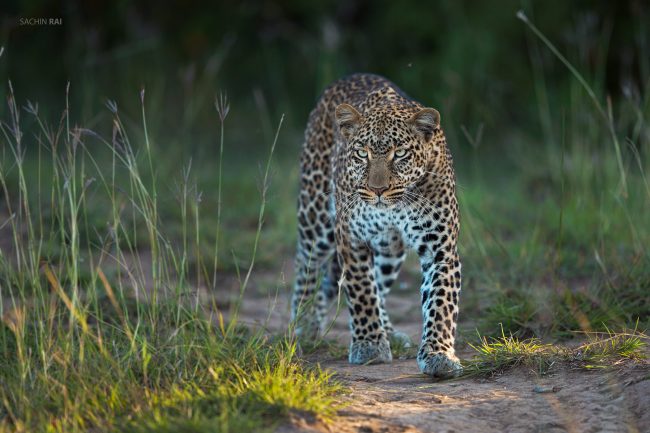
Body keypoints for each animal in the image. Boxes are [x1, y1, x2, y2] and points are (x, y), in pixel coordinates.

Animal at [291, 73, 462, 377]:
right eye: (362, 153)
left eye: (401, 153)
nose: (377, 189)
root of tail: (352, 75)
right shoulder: (351, 237)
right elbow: (361, 291)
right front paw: (370, 346)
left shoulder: (440, 248)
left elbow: (441, 301)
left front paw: (439, 355)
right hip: (316, 216)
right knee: (306, 262)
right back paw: (304, 322)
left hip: (389, 250)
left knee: (379, 285)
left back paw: (390, 333)